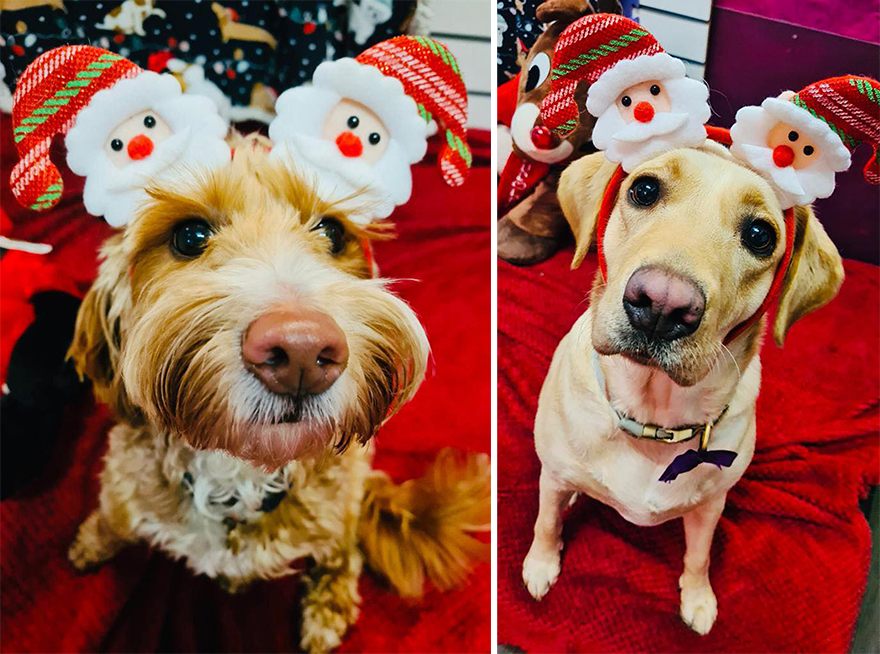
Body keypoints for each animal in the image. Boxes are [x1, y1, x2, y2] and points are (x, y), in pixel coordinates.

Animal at [524, 142, 844, 636]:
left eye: (760, 235)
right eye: (644, 189)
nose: (662, 304)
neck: (651, 417)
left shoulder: (711, 506)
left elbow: (699, 555)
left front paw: (697, 597)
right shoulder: (554, 477)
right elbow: (546, 521)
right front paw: (541, 564)